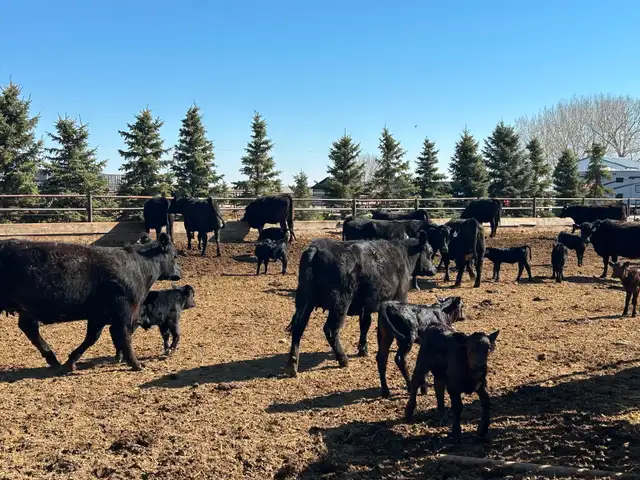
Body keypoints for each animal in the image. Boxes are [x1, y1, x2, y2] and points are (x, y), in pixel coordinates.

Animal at [0, 233, 181, 372]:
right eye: (174, 255)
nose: (180, 272)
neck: (139, 267)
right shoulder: (125, 312)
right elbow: (125, 337)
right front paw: (136, 364)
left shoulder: (98, 315)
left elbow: (92, 338)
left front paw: (70, 362)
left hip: (27, 310)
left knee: (29, 328)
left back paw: (53, 360)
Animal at [284, 232, 437, 377]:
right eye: (429, 253)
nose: (434, 269)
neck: (403, 254)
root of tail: (315, 248)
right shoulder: (400, 297)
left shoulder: (366, 305)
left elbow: (365, 325)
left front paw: (363, 348)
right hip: (340, 303)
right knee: (330, 329)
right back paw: (343, 359)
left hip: (304, 301)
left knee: (298, 327)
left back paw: (292, 363)